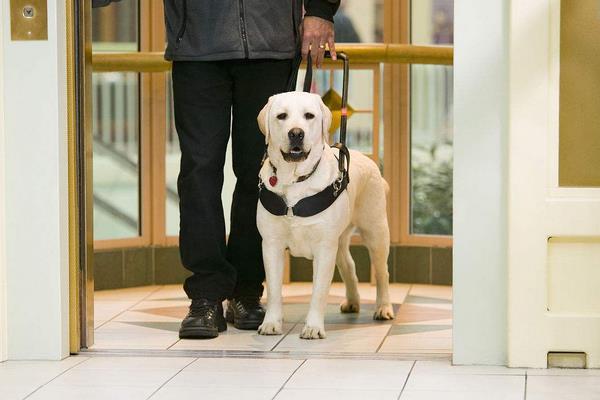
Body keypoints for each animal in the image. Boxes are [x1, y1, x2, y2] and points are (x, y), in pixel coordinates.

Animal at [254, 92, 392, 340]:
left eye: (309, 115)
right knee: (349, 266)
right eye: (282, 116)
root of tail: (369, 160)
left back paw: (384, 308)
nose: (296, 133)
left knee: (381, 271)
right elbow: (274, 289)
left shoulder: (324, 247)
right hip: (340, 240)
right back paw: (352, 301)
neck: (294, 179)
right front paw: (271, 323)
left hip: (375, 232)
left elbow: (318, 291)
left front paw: (313, 327)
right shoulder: (271, 245)